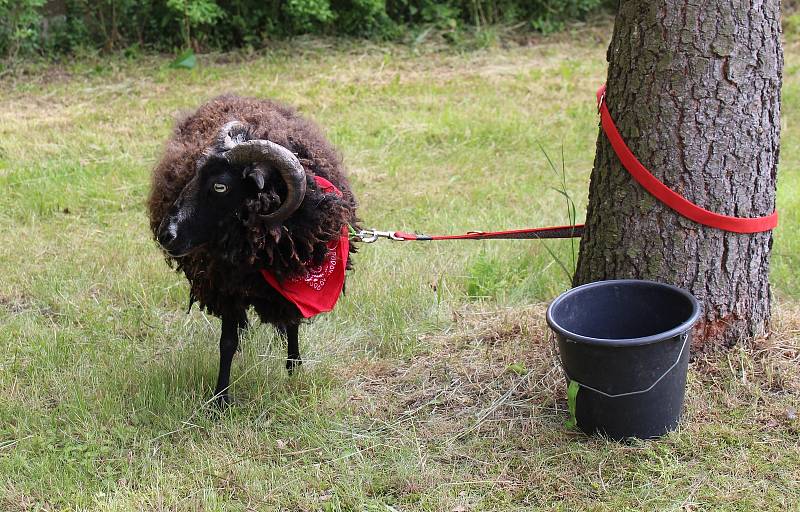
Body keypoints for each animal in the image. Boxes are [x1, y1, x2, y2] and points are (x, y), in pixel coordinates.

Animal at [146, 93, 356, 404]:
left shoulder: (291, 282)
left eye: (220, 186)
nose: (166, 235)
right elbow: (227, 342)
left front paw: (294, 369)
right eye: (194, 173)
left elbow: (292, 323)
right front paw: (220, 399)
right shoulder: (225, 284)